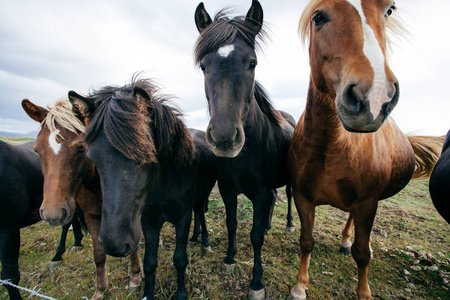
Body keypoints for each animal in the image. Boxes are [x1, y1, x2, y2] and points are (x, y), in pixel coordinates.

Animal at [21, 99, 142, 300]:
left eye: (81, 148)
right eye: (37, 150)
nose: (52, 214)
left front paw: (135, 279)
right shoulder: (91, 215)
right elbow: (99, 255)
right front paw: (100, 290)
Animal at [70, 78, 216, 300]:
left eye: (144, 155)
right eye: (92, 158)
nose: (115, 245)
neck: (164, 184)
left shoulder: (182, 218)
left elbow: (180, 259)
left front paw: (181, 294)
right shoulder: (149, 222)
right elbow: (149, 263)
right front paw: (147, 293)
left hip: (200, 199)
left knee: (200, 214)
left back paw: (204, 242)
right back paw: (194, 239)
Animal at [194, 1, 296, 298]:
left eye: (252, 63)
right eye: (203, 66)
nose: (224, 137)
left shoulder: (260, 194)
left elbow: (255, 236)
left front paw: (256, 282)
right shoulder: (228, 189)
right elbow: (232, 224)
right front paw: (229, 258)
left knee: (288, 197)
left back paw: (287, 224)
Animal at [288, 1, 440, 298]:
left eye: (389, 10)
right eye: (318, 17)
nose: (374, 98)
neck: (332, 146)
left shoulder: (368, 202)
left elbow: (362, 255)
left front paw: (364, 292)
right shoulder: (303, 197)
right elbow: (306, 241)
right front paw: (300, 287)